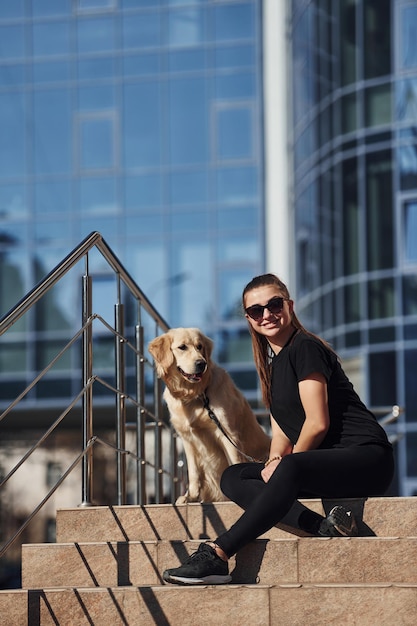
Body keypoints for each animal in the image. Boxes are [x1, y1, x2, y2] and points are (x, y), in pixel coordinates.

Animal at [148, 326, 268, 502]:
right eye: (182, 347)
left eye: (200, 347)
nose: (201, 363)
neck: (195, 395)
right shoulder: (187, 438)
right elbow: (193, 472)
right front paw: (190, 496)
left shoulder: (228, 433)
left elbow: (234, 462)